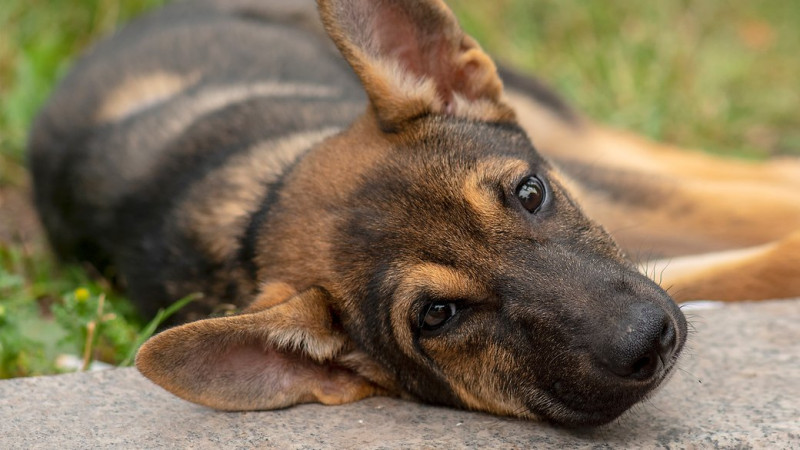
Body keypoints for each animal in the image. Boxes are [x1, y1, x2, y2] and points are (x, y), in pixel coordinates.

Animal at [28, 0, 800, 428]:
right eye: (437, 316)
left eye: (529, 194)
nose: (653, 341)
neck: (263, 196)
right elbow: (757, 267)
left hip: (589, 151)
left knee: (736, 174)